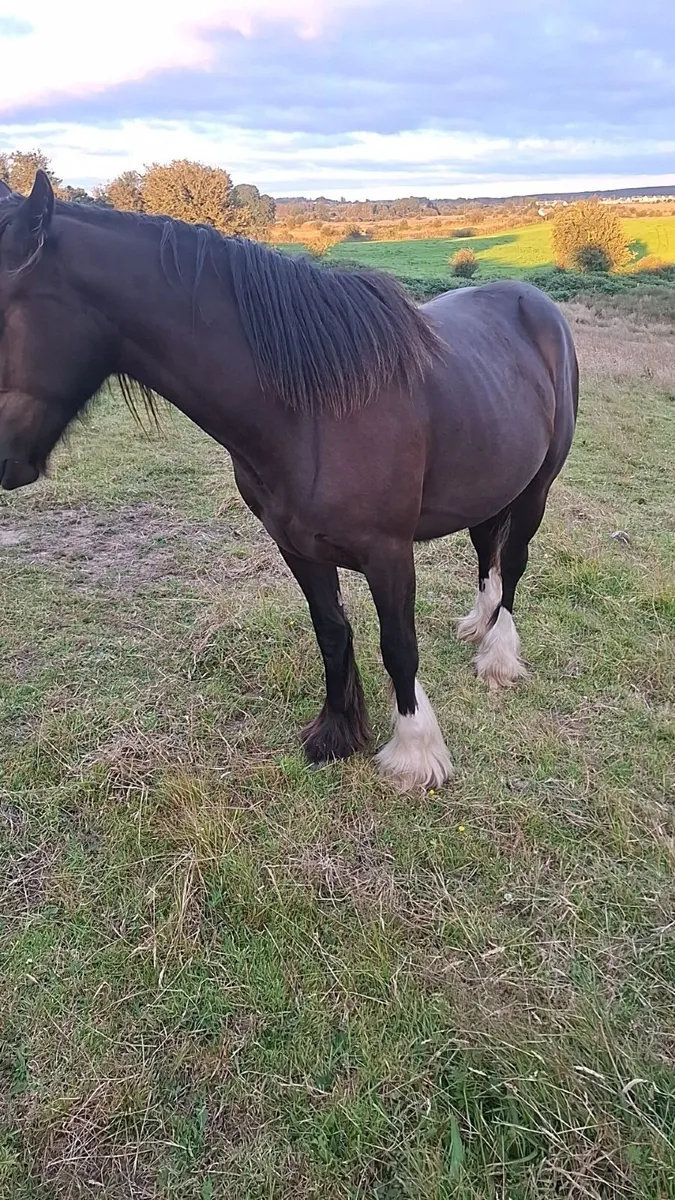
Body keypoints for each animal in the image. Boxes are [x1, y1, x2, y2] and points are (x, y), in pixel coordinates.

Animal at [0, 172, 578, 792]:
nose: (4, 465)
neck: (314, 409)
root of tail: (535, 303)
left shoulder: (388, 552)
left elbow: (398, 646)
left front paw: (414, 754)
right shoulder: (296, 546)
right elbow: (330, 631)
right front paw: (337, 734)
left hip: (535, 491)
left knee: (512, 562)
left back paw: (498, 655)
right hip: (489, 487)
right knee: (486, 553)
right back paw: (478, 623)